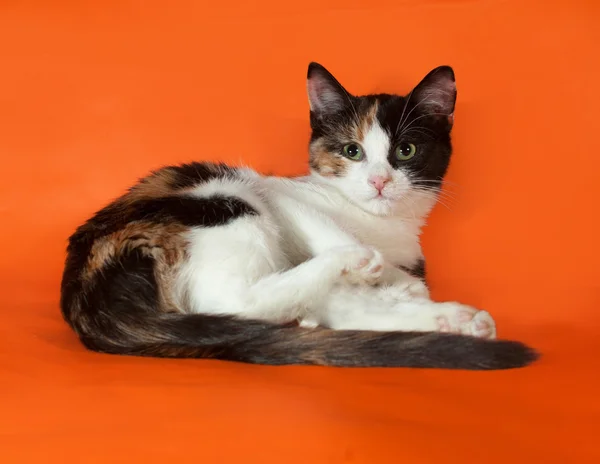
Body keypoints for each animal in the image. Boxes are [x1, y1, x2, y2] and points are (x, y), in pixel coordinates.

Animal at [59, 62, 540, 370]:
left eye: (406, 150)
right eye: (352, 151)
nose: (380, 181)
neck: (379, 226)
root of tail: (84, 295)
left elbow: (359, 306)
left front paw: (435, 311)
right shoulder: (278, 191)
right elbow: (323, 225)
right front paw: (381, 271)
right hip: (226, 193)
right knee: (232, 302)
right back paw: (353, 263)